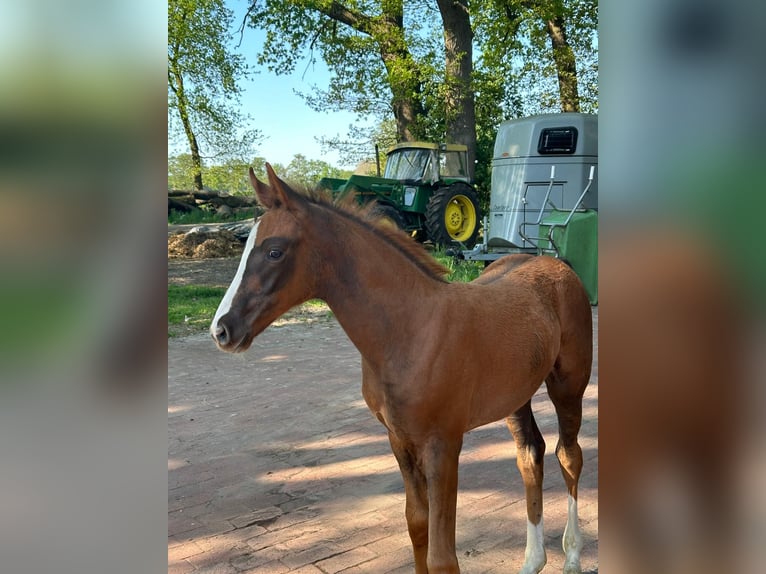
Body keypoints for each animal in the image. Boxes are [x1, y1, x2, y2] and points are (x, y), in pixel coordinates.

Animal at [210, 164, 593, 574]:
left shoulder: (444, 443)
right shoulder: (399, 439)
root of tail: (553, 261)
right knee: (530, 456)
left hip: (568, 385)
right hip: (515, 396)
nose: (221, 329)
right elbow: (416, 524)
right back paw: (533, 560)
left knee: (569, 455)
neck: (409, 331)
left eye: (274, 251)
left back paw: (572, 556)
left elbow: (442, 554)